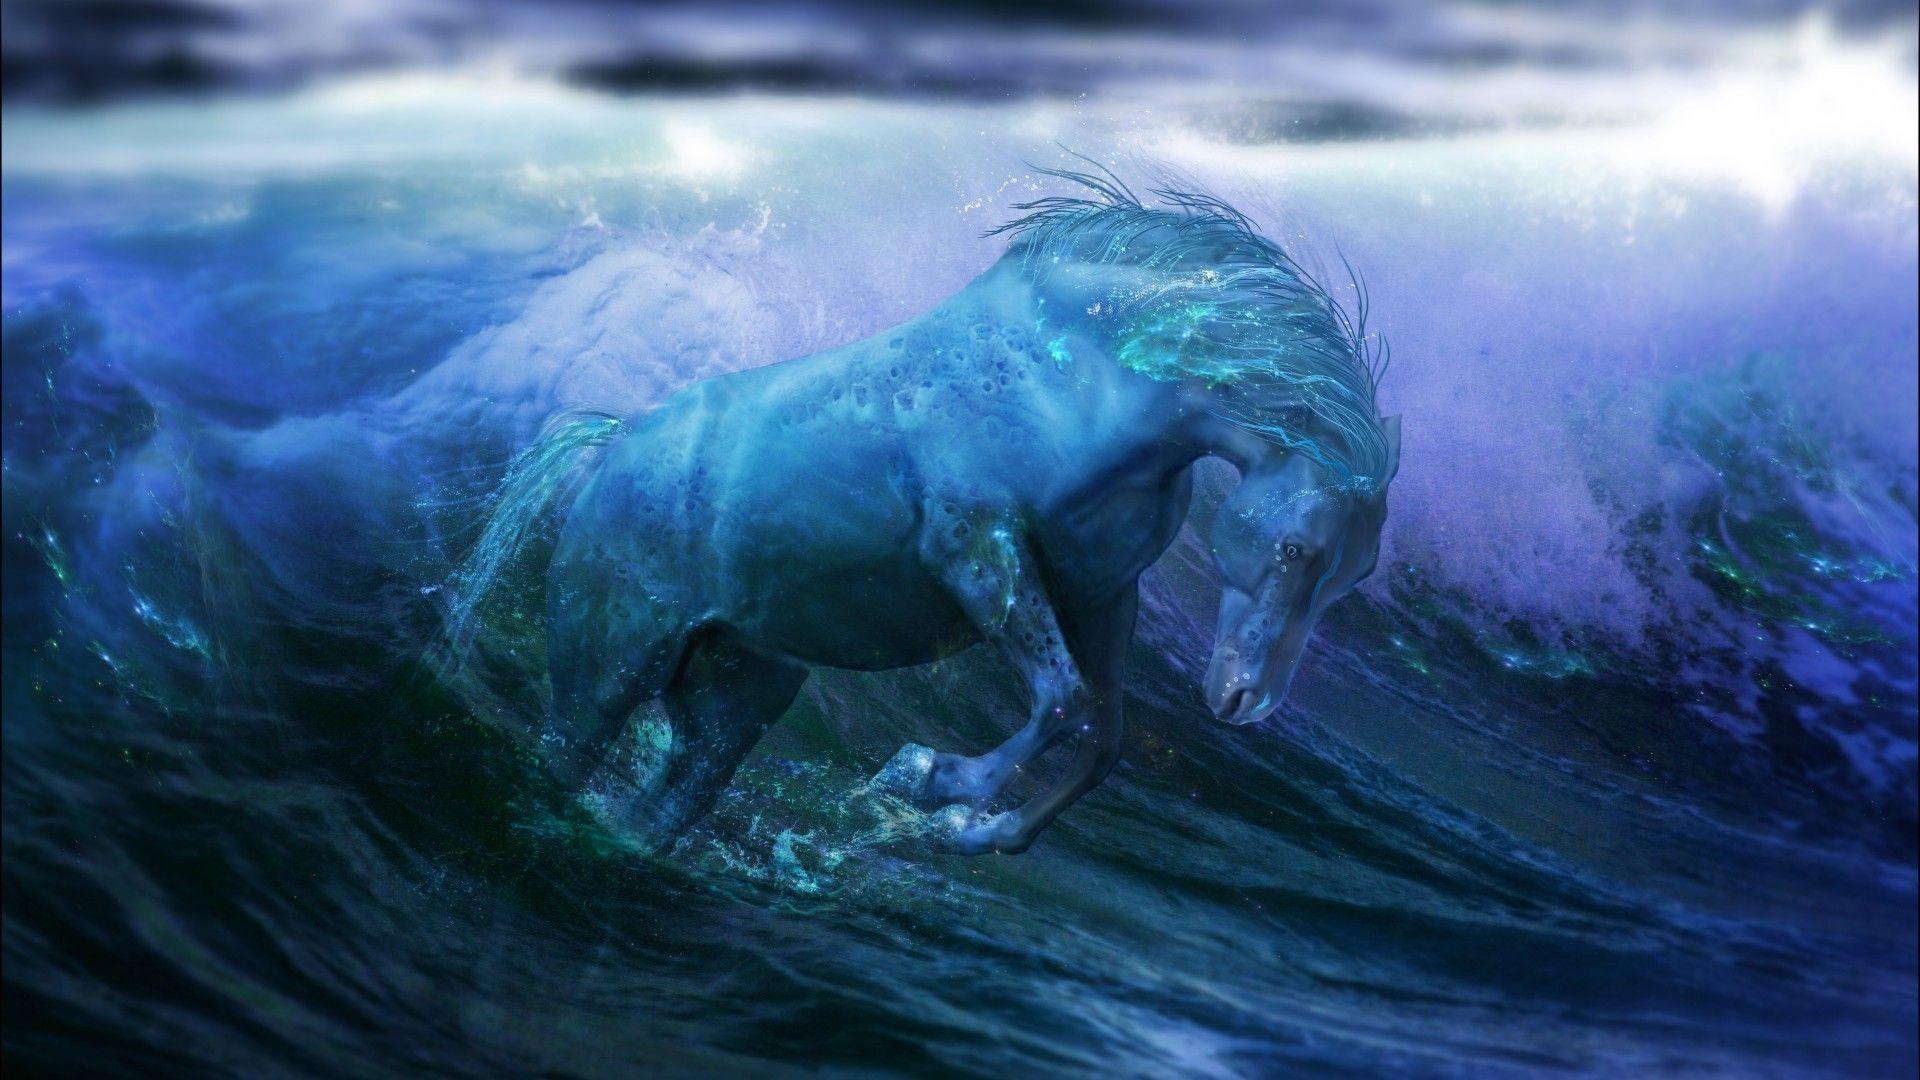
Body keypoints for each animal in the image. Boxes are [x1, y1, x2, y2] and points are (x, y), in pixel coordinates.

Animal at [451, 168, 1400, 856]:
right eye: (1294, 548)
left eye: (1351, 578)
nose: (1244, 701)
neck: (1084, 388)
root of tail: (612, 444)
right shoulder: (975, 551)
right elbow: (1066, 705)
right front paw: (928, 780)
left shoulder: (1101, 595)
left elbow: (1104, 739)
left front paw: (976, 830)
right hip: (606, 668)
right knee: (568, 754)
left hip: (738, 692)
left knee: (666, 804)